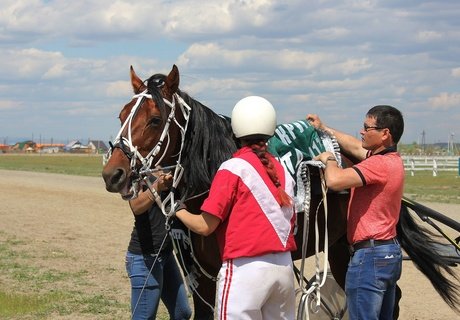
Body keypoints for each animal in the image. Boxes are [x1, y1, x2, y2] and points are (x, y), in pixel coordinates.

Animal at [102, 63, 458, 318]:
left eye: (155, 119)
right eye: (121, 115)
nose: (112, 173)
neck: (209, 179)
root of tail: (368, 155)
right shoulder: (199, 275)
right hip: (340, 246)